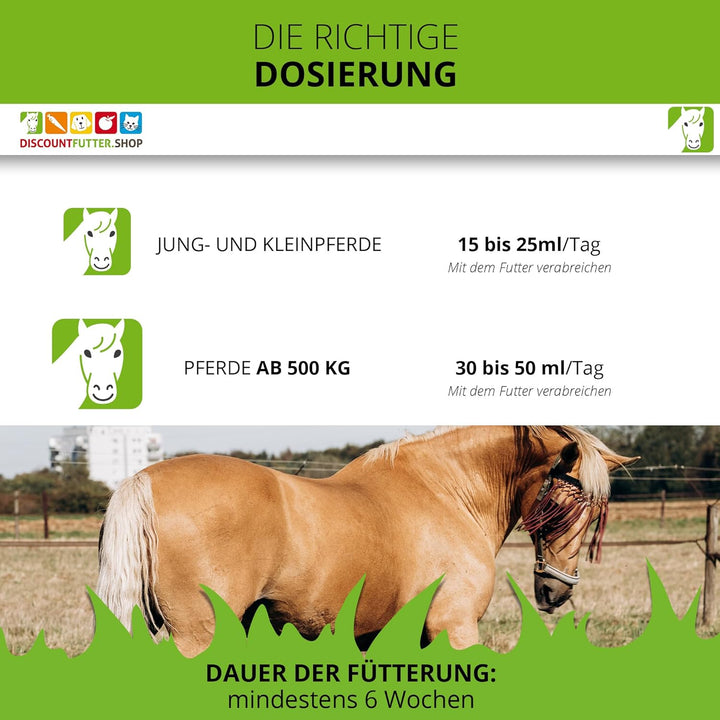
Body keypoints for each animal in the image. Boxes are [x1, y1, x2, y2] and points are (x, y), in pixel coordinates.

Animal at [97, 426, 637, 657]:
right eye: (563, 507)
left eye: (597, 516)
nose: (556, 591)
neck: (445, 491)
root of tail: (141, 480)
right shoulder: (456, 627)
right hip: (201, 636)